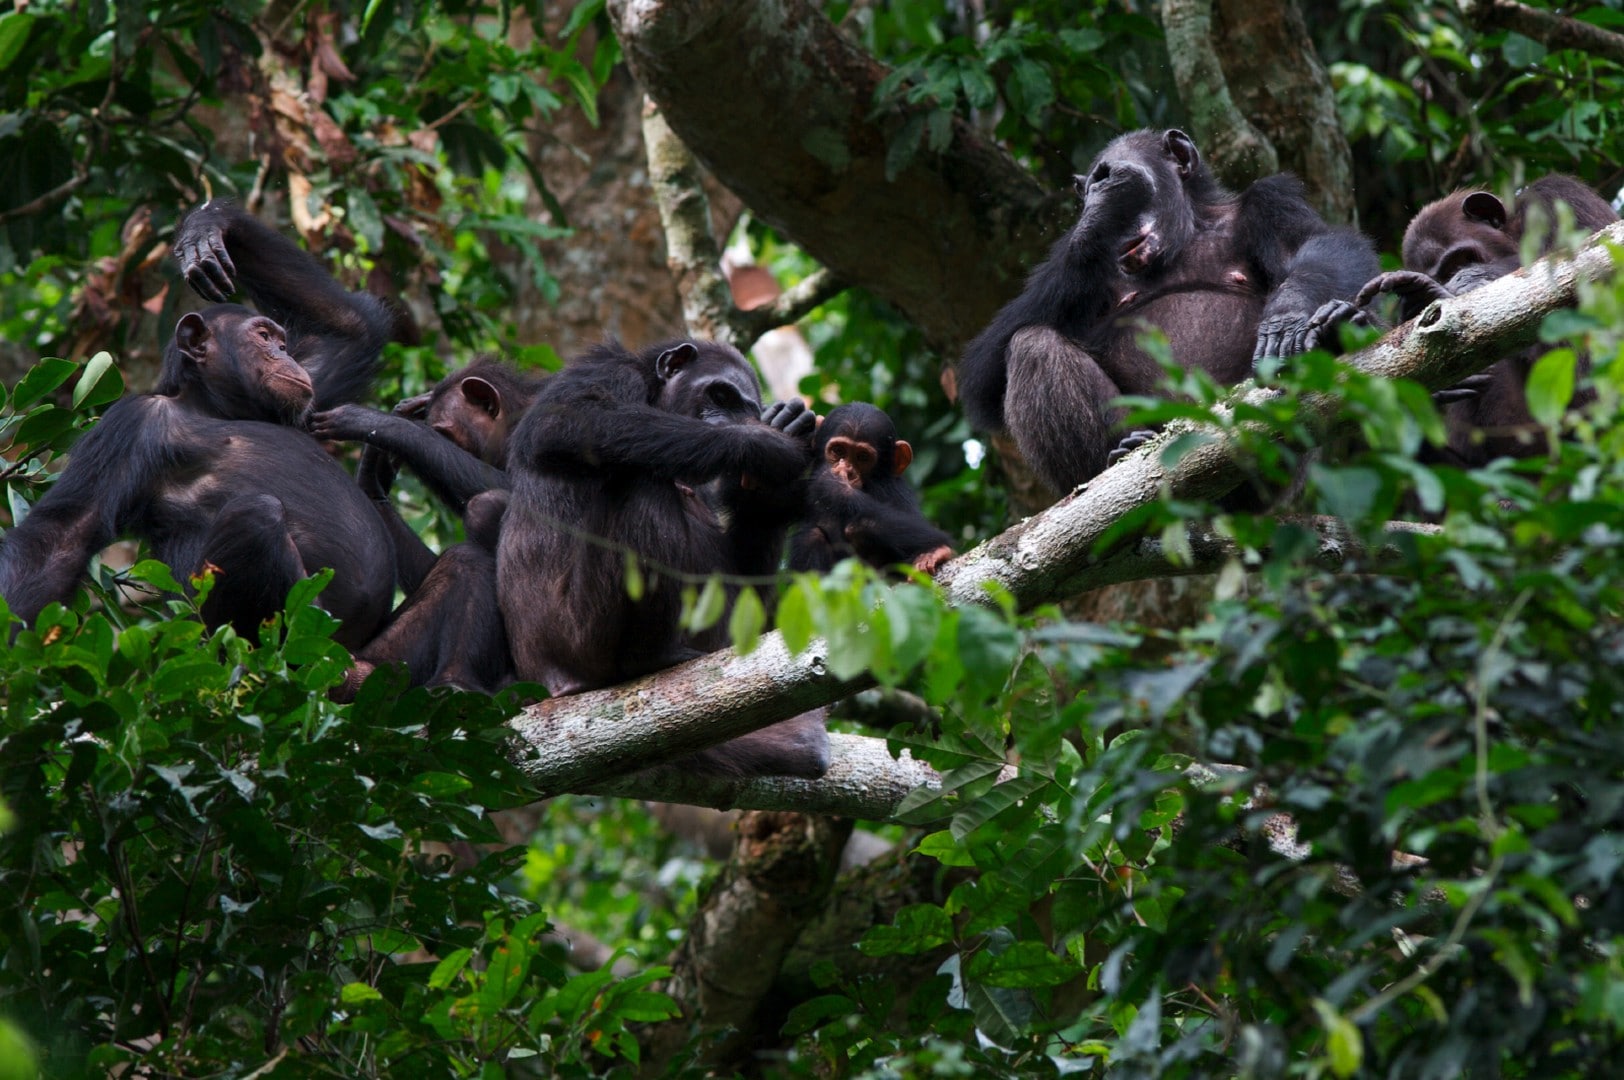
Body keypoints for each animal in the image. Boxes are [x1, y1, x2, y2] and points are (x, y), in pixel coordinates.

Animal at [1, 199, 401, 649]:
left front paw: (206, 228)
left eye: (283, 342)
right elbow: (61, 538)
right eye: (263, 337)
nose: (285, 354)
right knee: (256, 516)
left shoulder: (312, 385)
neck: (215, 408)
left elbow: (351, 329)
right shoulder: (128, 426)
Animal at [496, 337, 831, 776]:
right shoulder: (604, 373)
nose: (727, 420)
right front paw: (764, 445)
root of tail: (550, 685)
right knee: (642, 482)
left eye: (743, 406)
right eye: (720, 395)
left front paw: (784, 437)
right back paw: (653, 657)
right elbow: (566, 422)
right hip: (582, 637)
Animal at [786, 402, 948, 571]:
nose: (849, 471)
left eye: (863, 457)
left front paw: (832, 484)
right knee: (812, 536)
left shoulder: (894, 490)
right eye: (838, 450)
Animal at [954, 128, 1377, 493]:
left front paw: (1288, 317)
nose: (1095, 195)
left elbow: (1322, 245)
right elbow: (984, 371)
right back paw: (1118, 455)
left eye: (1109, 174)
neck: (1185, 236)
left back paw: (1340, 327)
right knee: (1032, 345)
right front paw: (1091, 228)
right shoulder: (1064, 267)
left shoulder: (1271, 201)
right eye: (1092, 185)